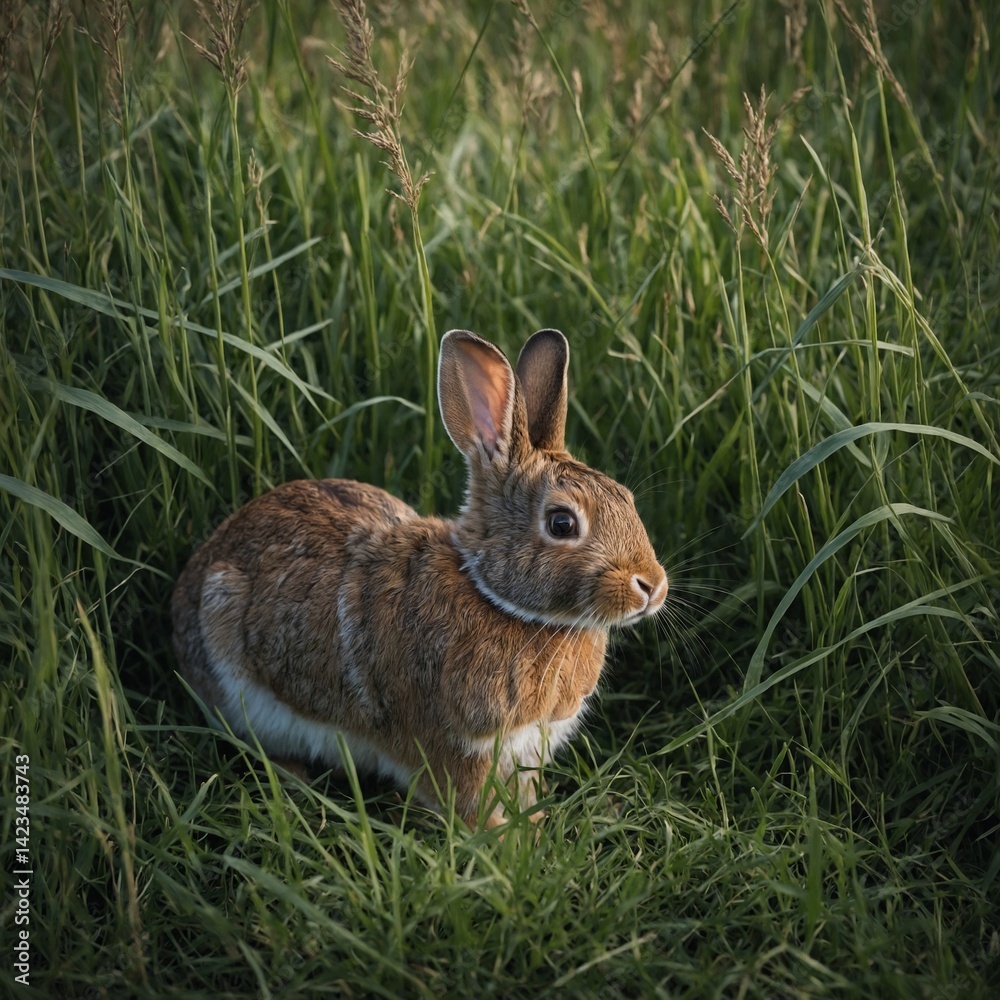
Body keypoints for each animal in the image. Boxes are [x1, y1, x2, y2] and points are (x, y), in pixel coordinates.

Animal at [171, 328, 668, 828]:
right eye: (562, 523)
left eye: (625, 498)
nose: (652, 586)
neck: (494, 597)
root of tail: (194, 579)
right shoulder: (451, 747)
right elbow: (470, 804)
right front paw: (504, 839)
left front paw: (536, 823)